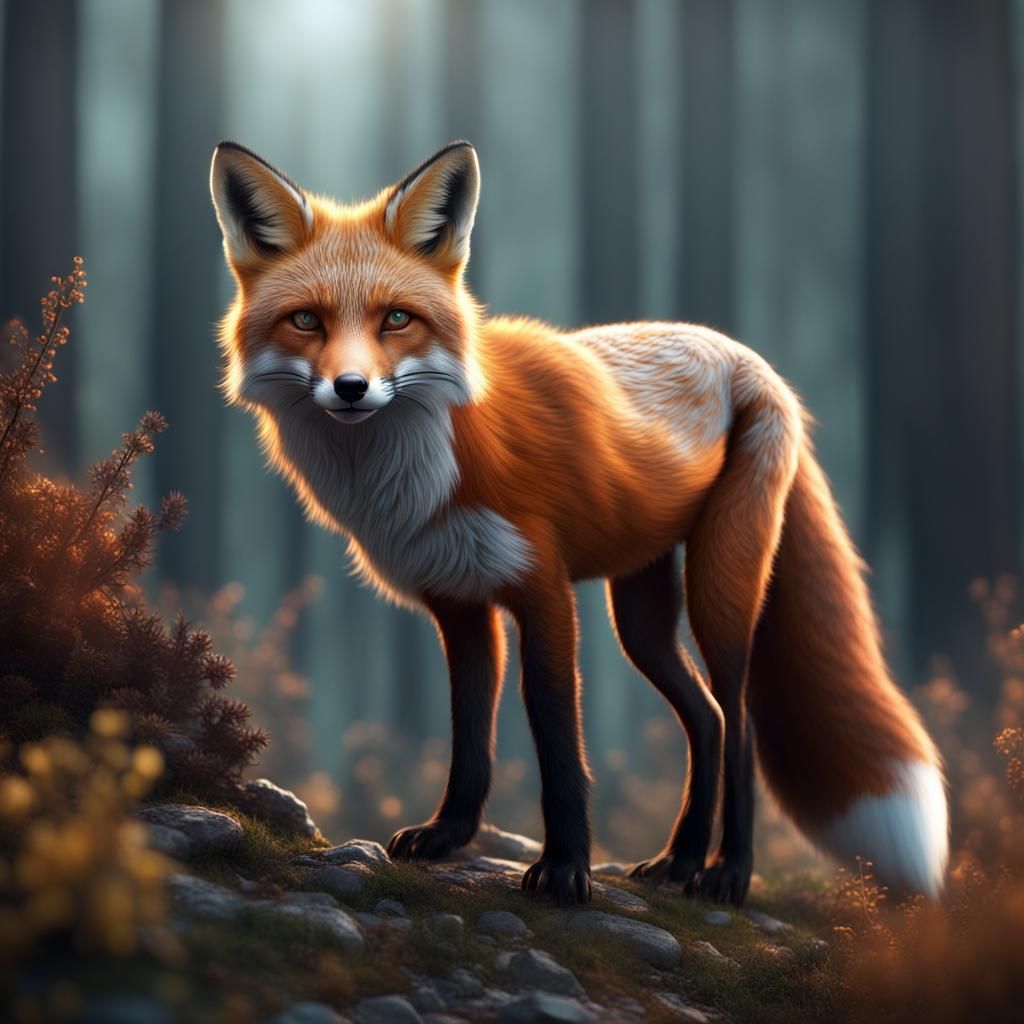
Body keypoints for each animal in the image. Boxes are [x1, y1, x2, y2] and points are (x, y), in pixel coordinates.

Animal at [209, 139, 949, 906]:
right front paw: (448, 835)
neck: (431, 457)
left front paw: (565, 868)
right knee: (707, 720)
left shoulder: (545, 592)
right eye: (307, 321)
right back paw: (680, 859)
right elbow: (470, 734)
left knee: (739, 723)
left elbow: (559, 741)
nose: (351, 388)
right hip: (642, 615)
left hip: (720, 590)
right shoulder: (459, 603)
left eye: (396, 320)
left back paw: (729, 872)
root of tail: (747, 357)